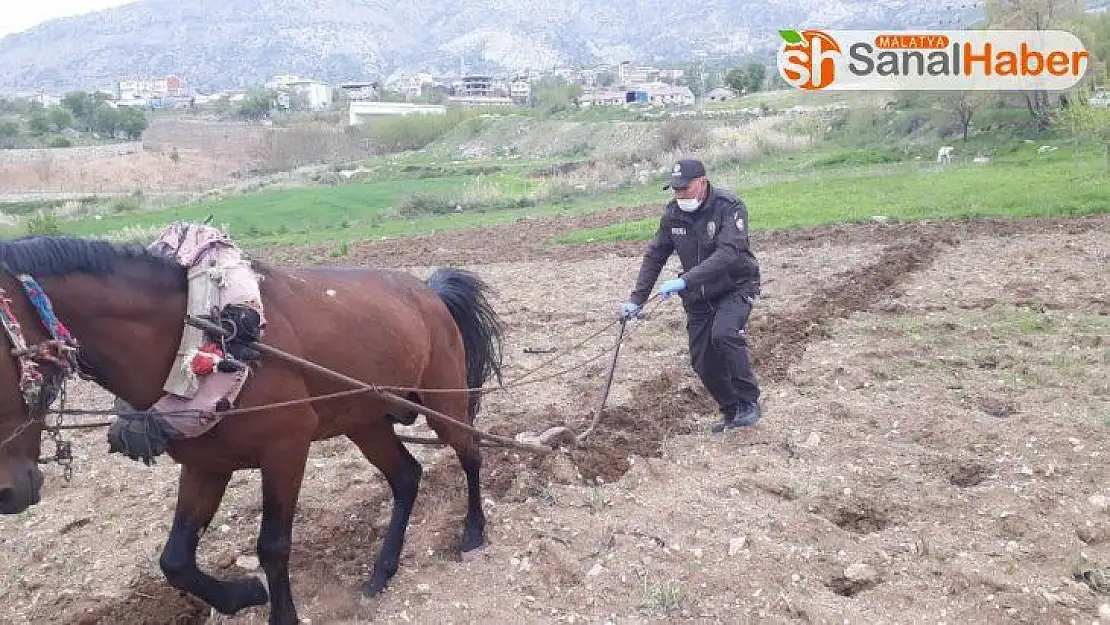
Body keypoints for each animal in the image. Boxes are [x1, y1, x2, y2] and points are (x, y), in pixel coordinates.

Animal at [0, 235, 506, 625]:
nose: (8, 493)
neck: (208, 335)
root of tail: (427, 291)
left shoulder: (285, 449)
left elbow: (273, 546)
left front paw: (281, 613)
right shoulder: (205, 465)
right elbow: (175, 560)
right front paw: (243, 594)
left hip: (443, 399)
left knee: (470, 453)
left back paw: (472, 533)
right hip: (364, 420)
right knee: (406, 476)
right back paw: (382, 570)